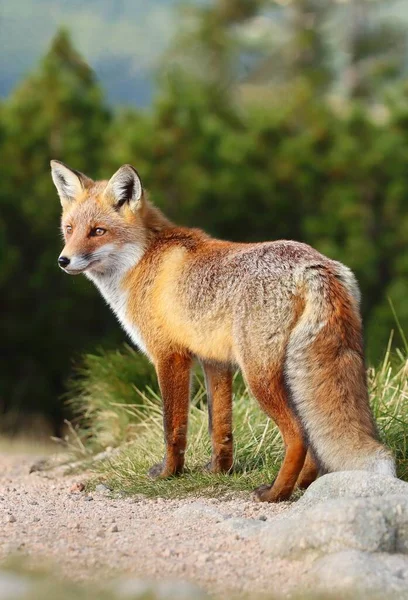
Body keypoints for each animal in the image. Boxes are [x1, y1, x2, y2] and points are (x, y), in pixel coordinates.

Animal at [50, 159, 396, 502]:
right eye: (69, 229)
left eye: (98, 231)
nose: (63, 260)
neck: (143, 259)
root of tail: (314, 265)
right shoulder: (214, 360)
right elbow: (220, 426)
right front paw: (219, 471)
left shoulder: (170, 356)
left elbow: (172, 427)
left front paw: (168, 474)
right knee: (309, 434)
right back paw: (302, 484)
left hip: (259, 375)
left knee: (298, 435)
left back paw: (276, 492)